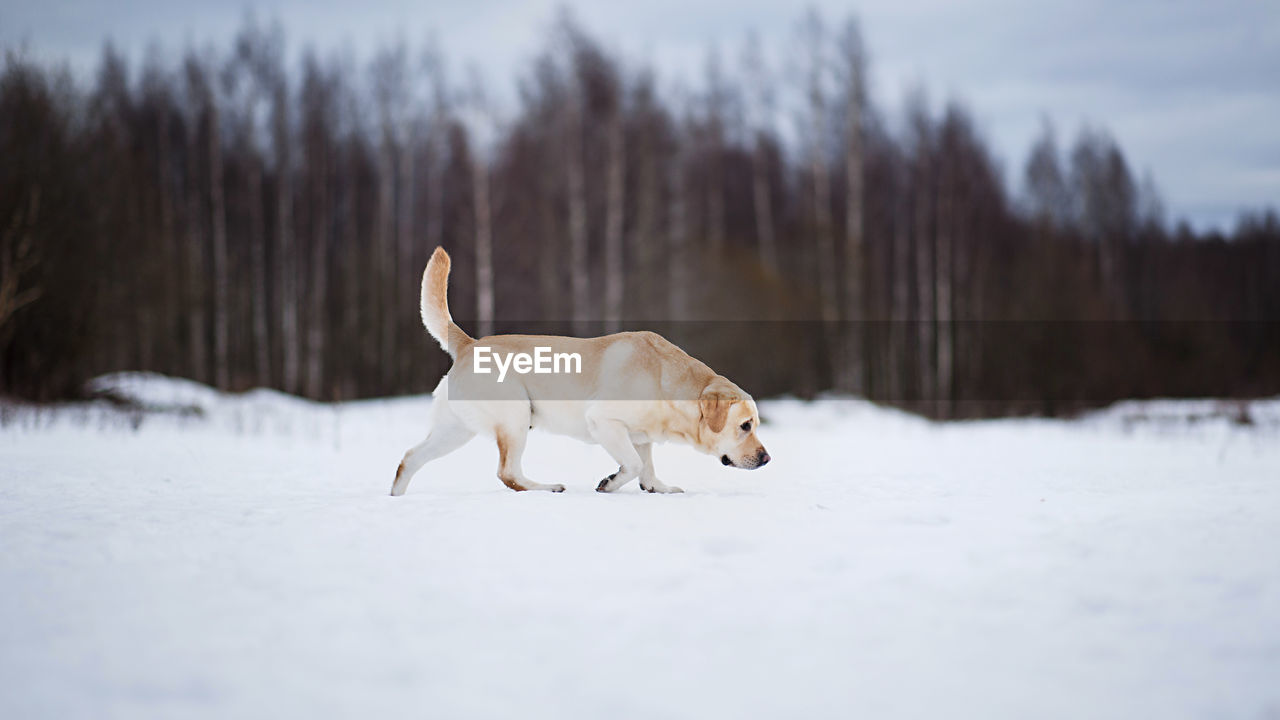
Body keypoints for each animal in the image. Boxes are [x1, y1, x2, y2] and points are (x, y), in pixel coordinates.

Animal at [389, 245, 768, 491]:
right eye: (745, 426)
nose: (766, 459)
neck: (667, 382)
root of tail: (469, 344)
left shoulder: (640, 436)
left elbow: (646, 468)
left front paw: (659, 488)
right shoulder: (604, 422)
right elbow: (632, 465)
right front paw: (610, 483)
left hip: (455, 430)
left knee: (409, 458)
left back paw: (397, 498)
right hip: (515, 417)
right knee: (507, 473)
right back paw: (546, 487)